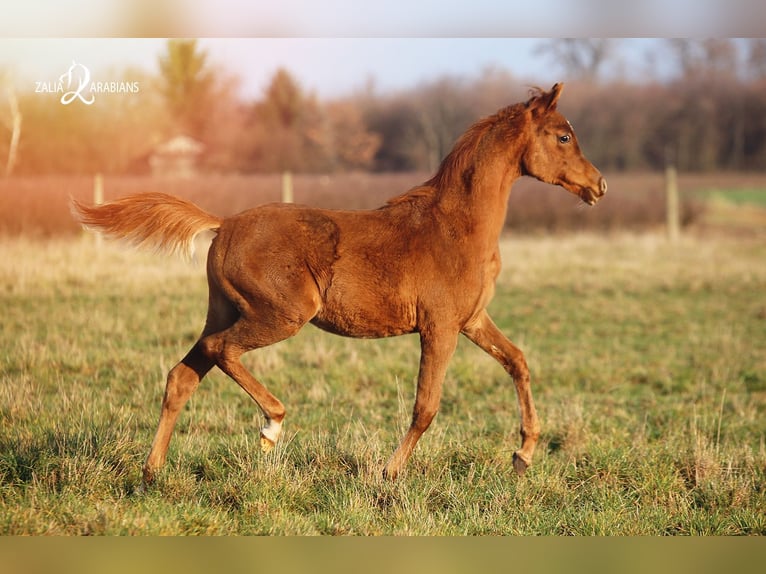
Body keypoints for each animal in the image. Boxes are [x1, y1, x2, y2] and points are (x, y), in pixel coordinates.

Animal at [75, 82, 608, 486]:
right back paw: (272, 426)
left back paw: (152, 472)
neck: (458, 226)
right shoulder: (439, 327)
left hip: (226, 309)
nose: (599, 186)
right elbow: (426, 406)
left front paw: (523, 456)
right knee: (221, 350)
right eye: (563, 137)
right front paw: (390, 474)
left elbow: (518, 362)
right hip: (282, 315)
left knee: (183, 374)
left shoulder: (472, 320)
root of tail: (223, 224)